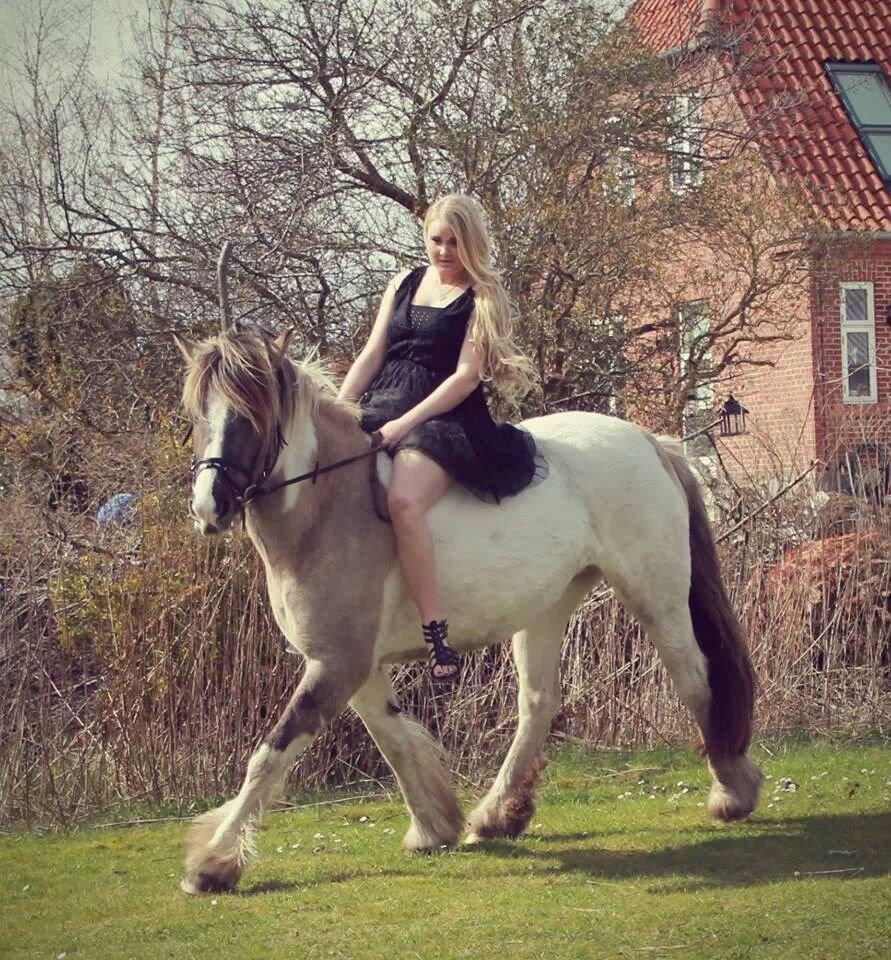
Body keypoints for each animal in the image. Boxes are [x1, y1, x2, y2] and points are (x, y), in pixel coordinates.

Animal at [176, 326, 768, 896]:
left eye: (251, 414)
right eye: (197, 414)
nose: (209, 507)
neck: (328, 507)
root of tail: (648, 442)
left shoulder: (338, 662)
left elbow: (271, 753)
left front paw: (213, 863)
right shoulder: (352, 666)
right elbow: (393, 737)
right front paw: (434, 825)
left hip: (655, 596)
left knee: (695, 680)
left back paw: (732, 792)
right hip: (548, 606)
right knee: (538, 703)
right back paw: (498, 814)